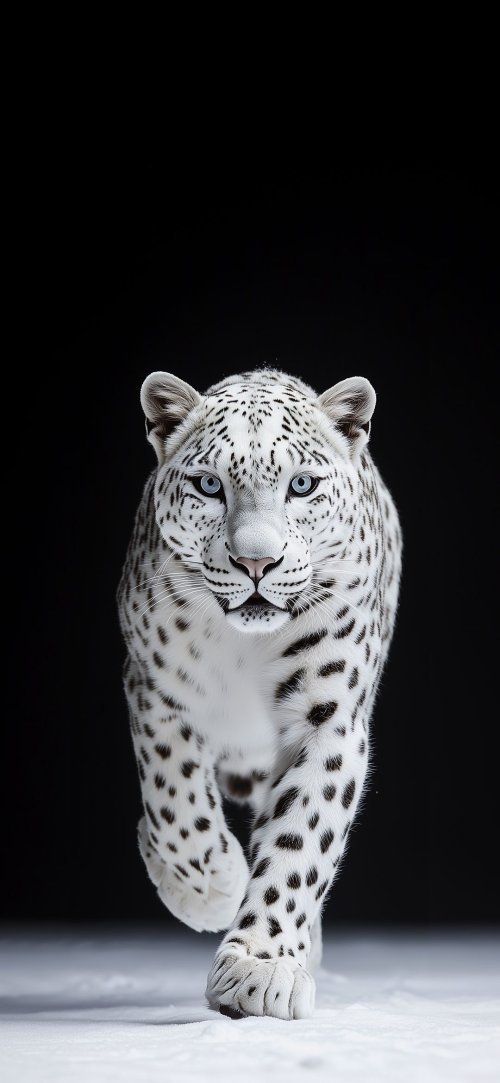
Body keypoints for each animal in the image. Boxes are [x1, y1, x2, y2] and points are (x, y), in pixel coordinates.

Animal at [117, 366, 402, 1020]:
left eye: (302, 485)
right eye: (208, 485)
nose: (256, 563)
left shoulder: (328, 717)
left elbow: (301, 836)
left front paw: (260, 968)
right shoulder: (156, 689)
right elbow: (174, 801)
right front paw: (211, 888)